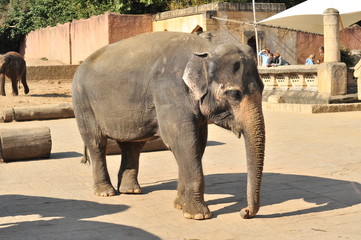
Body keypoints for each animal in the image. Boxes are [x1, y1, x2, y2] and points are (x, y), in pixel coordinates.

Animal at [72, 31, 264, 219]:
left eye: (262, 88)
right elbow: (181, 140)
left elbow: (197, 142)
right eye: (234, 94)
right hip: (82, 102)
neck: (206, 48)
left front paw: (179, 206)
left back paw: (131, 191)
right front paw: (198, 215)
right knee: (96, 143)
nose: (244, 212)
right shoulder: (170, 91)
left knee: (132, 146)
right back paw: (106, 192)